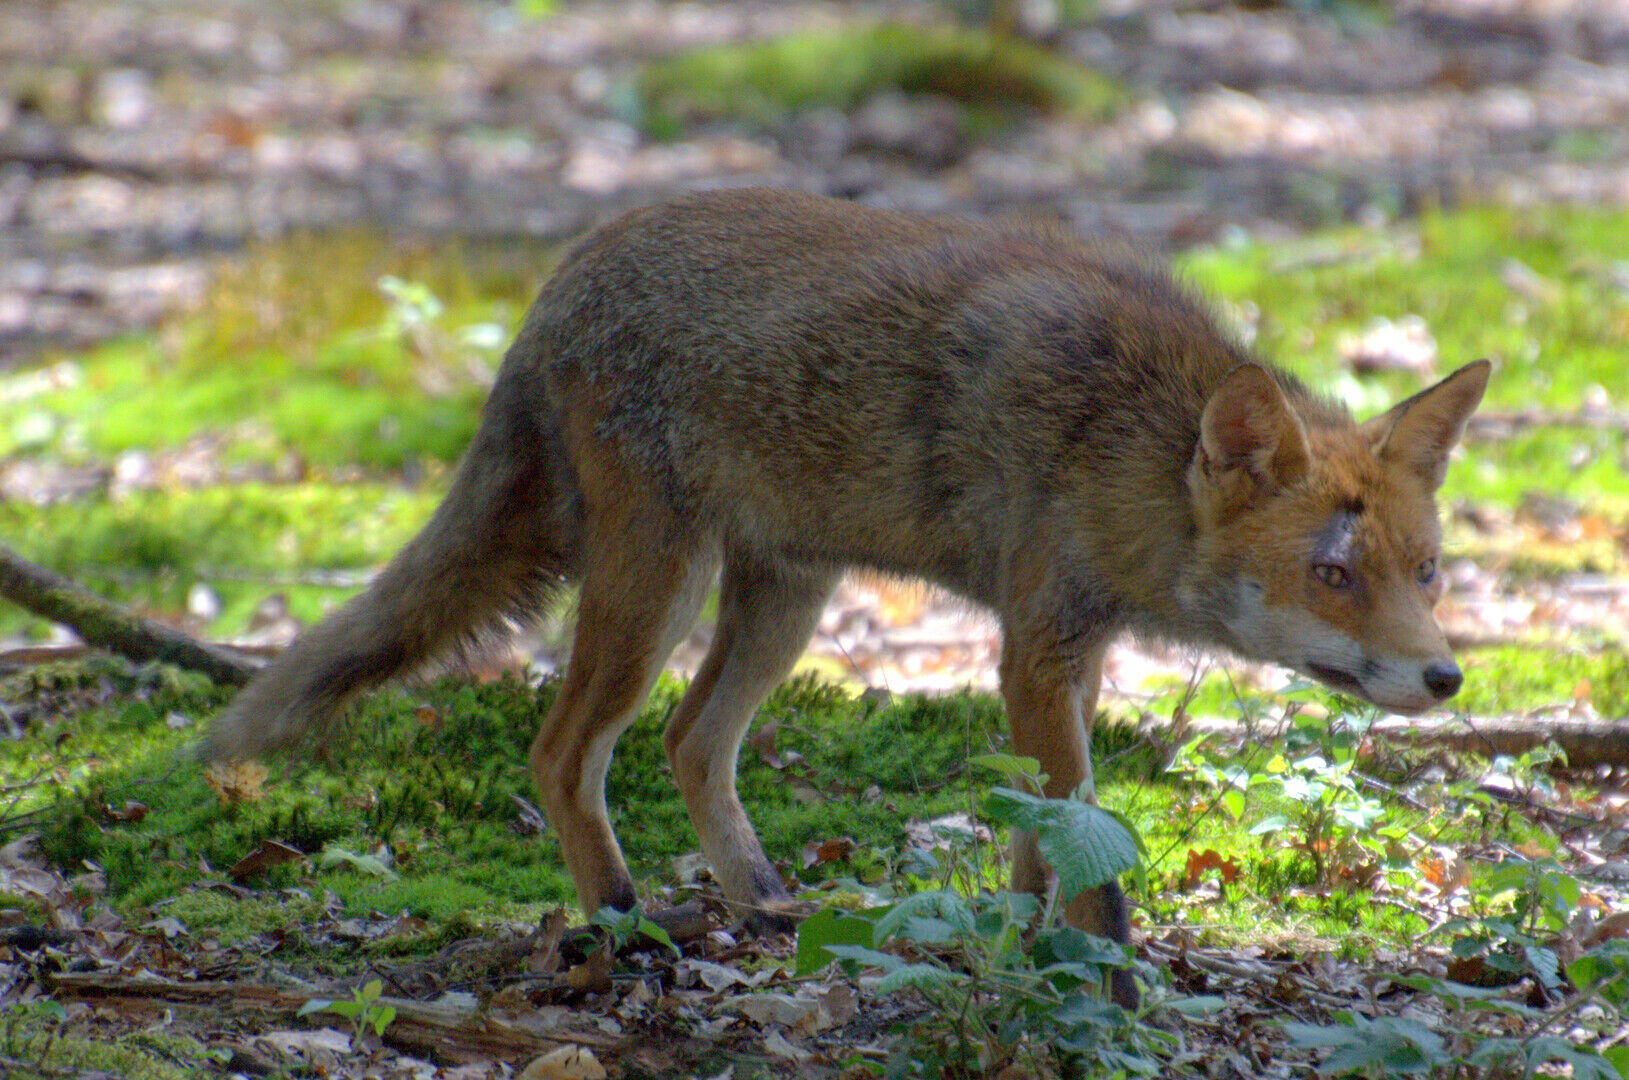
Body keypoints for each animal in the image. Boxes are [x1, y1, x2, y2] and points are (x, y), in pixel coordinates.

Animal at [203, 189, 1492, 1009]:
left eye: (1425, 570)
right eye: (1332, 576)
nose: (1445, 678)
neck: (1117, 439)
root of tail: (567, 270)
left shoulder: (1069, 655)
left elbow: (1038, 847)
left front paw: (1025, 962)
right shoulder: (1036, 643)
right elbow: (1092, 863)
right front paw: (1117, 997)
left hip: (787, 597)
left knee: (689, 741)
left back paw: (765, 905)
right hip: (657, 587)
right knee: (563, 754)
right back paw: (622, 926)